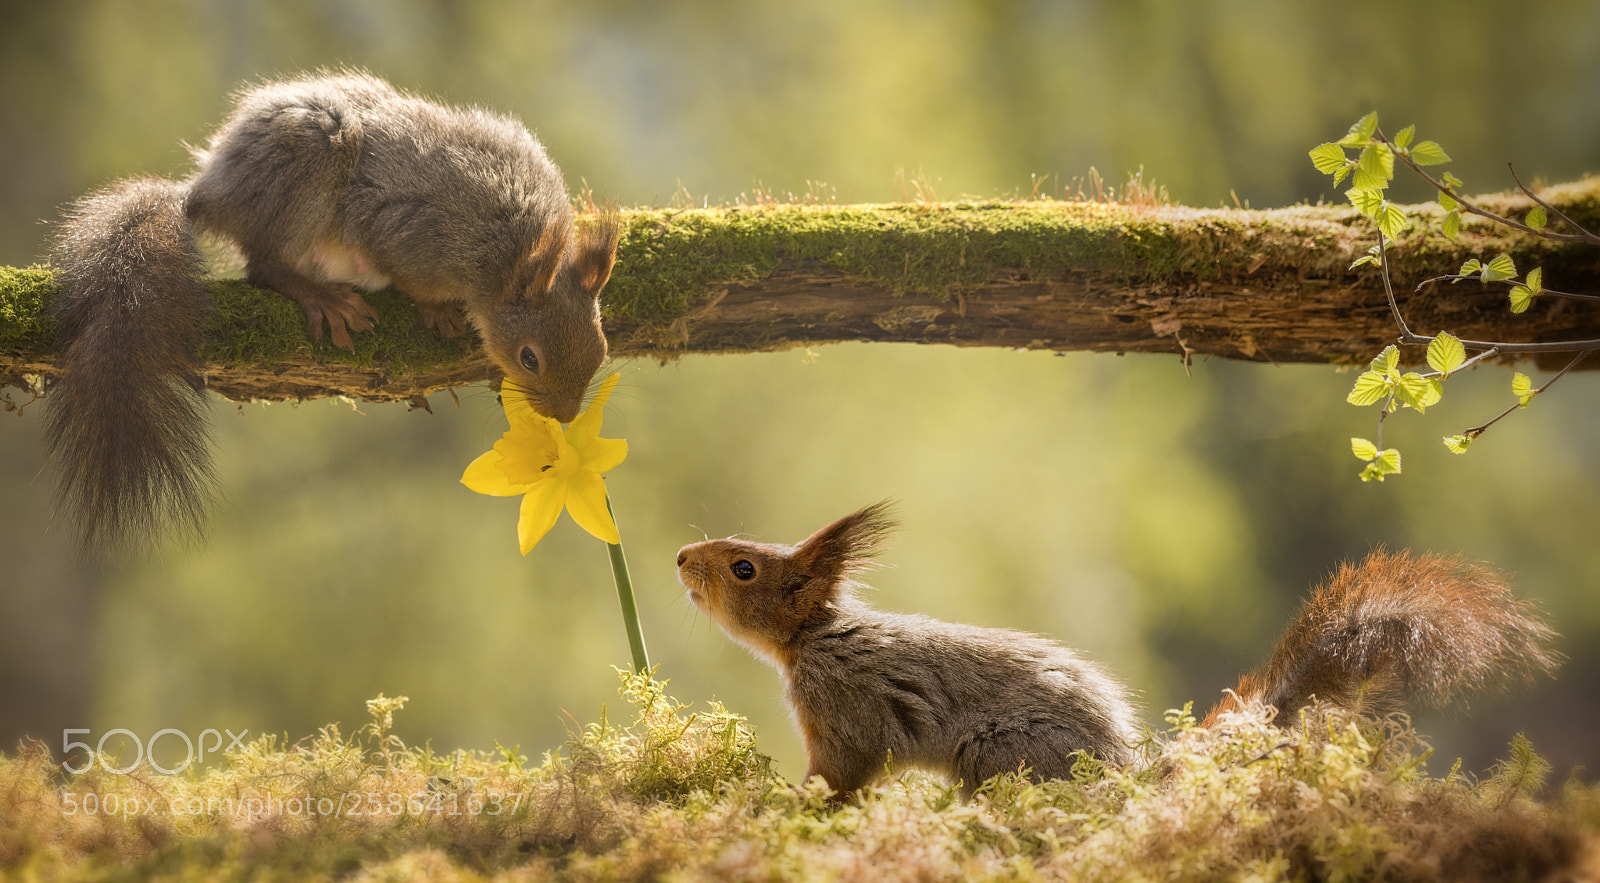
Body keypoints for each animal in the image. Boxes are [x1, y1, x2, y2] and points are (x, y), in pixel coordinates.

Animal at [46, 72, 619, 552]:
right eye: (529, 359)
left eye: (602, 348)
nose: (567, 416)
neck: (509, 252)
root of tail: (210, 192)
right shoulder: (410, 234)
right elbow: (414, 282)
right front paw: (438, 312)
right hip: (307, 166)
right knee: (264, 263)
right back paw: (320, 295)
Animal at [676, 502, 1562, 799]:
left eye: (744, 566)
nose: (682, 557)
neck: (814, 640)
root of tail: (1123, 762)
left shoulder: (844, 708)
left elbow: (845, 772)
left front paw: (796, 798)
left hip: (998, 752)